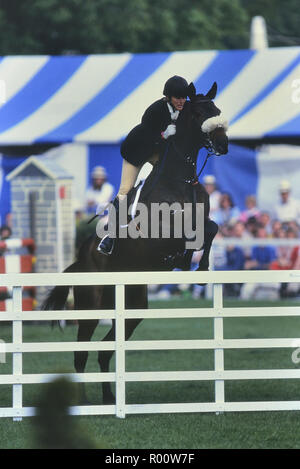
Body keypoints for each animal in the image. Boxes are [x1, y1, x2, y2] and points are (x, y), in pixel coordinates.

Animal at [42, 80, 229, 402]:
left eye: (216, 109)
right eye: (198, 113)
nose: (224, 143)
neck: (180, 180)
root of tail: (80, 259)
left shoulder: (202, 218)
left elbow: (211, 227)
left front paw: (199, 268)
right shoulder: (161, 233)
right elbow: (192, 233)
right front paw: (185, 261)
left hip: (132, 307)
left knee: (104, 351)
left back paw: (109, 399)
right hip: (91, 306)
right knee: (81, 353)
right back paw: (84, 403)